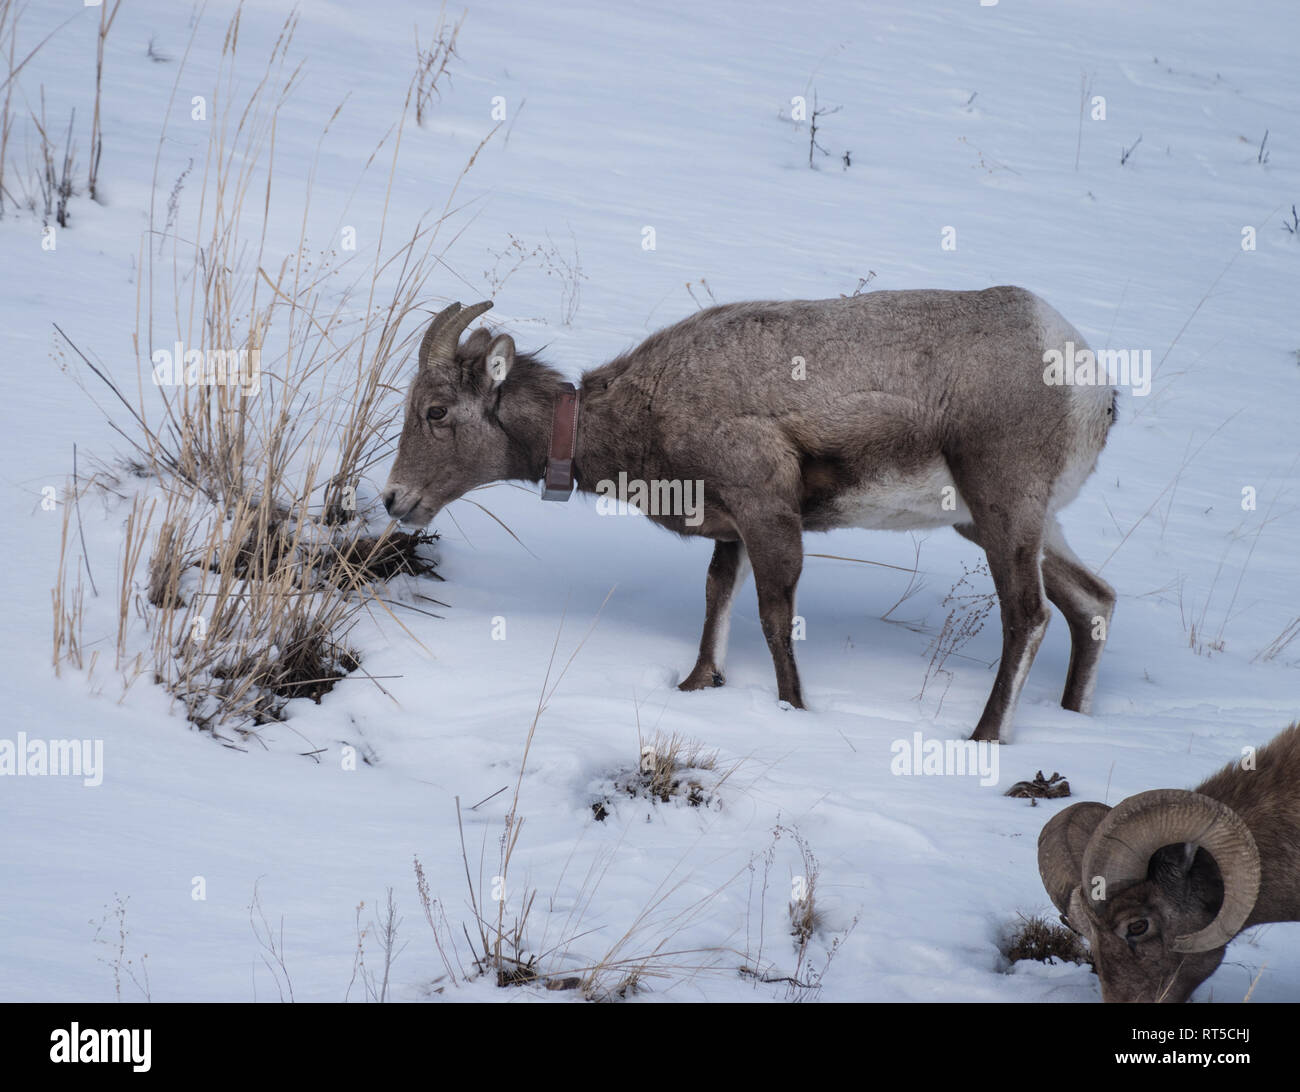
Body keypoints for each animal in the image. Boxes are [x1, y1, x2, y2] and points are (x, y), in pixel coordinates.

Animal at [379, 287, 1118, 743]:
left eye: (435, 411)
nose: (393, 500)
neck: (647, 410)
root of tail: (1091, 385)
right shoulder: (731, 530)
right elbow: (716, 603)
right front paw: (697, 684)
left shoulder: (768, 513)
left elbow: (771, 619)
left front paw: (793, 709)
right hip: (1016, 525)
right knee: (1093, 602)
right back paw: (1073, 716)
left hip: (1002, 514)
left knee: (1029, 617)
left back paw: (984, 736)